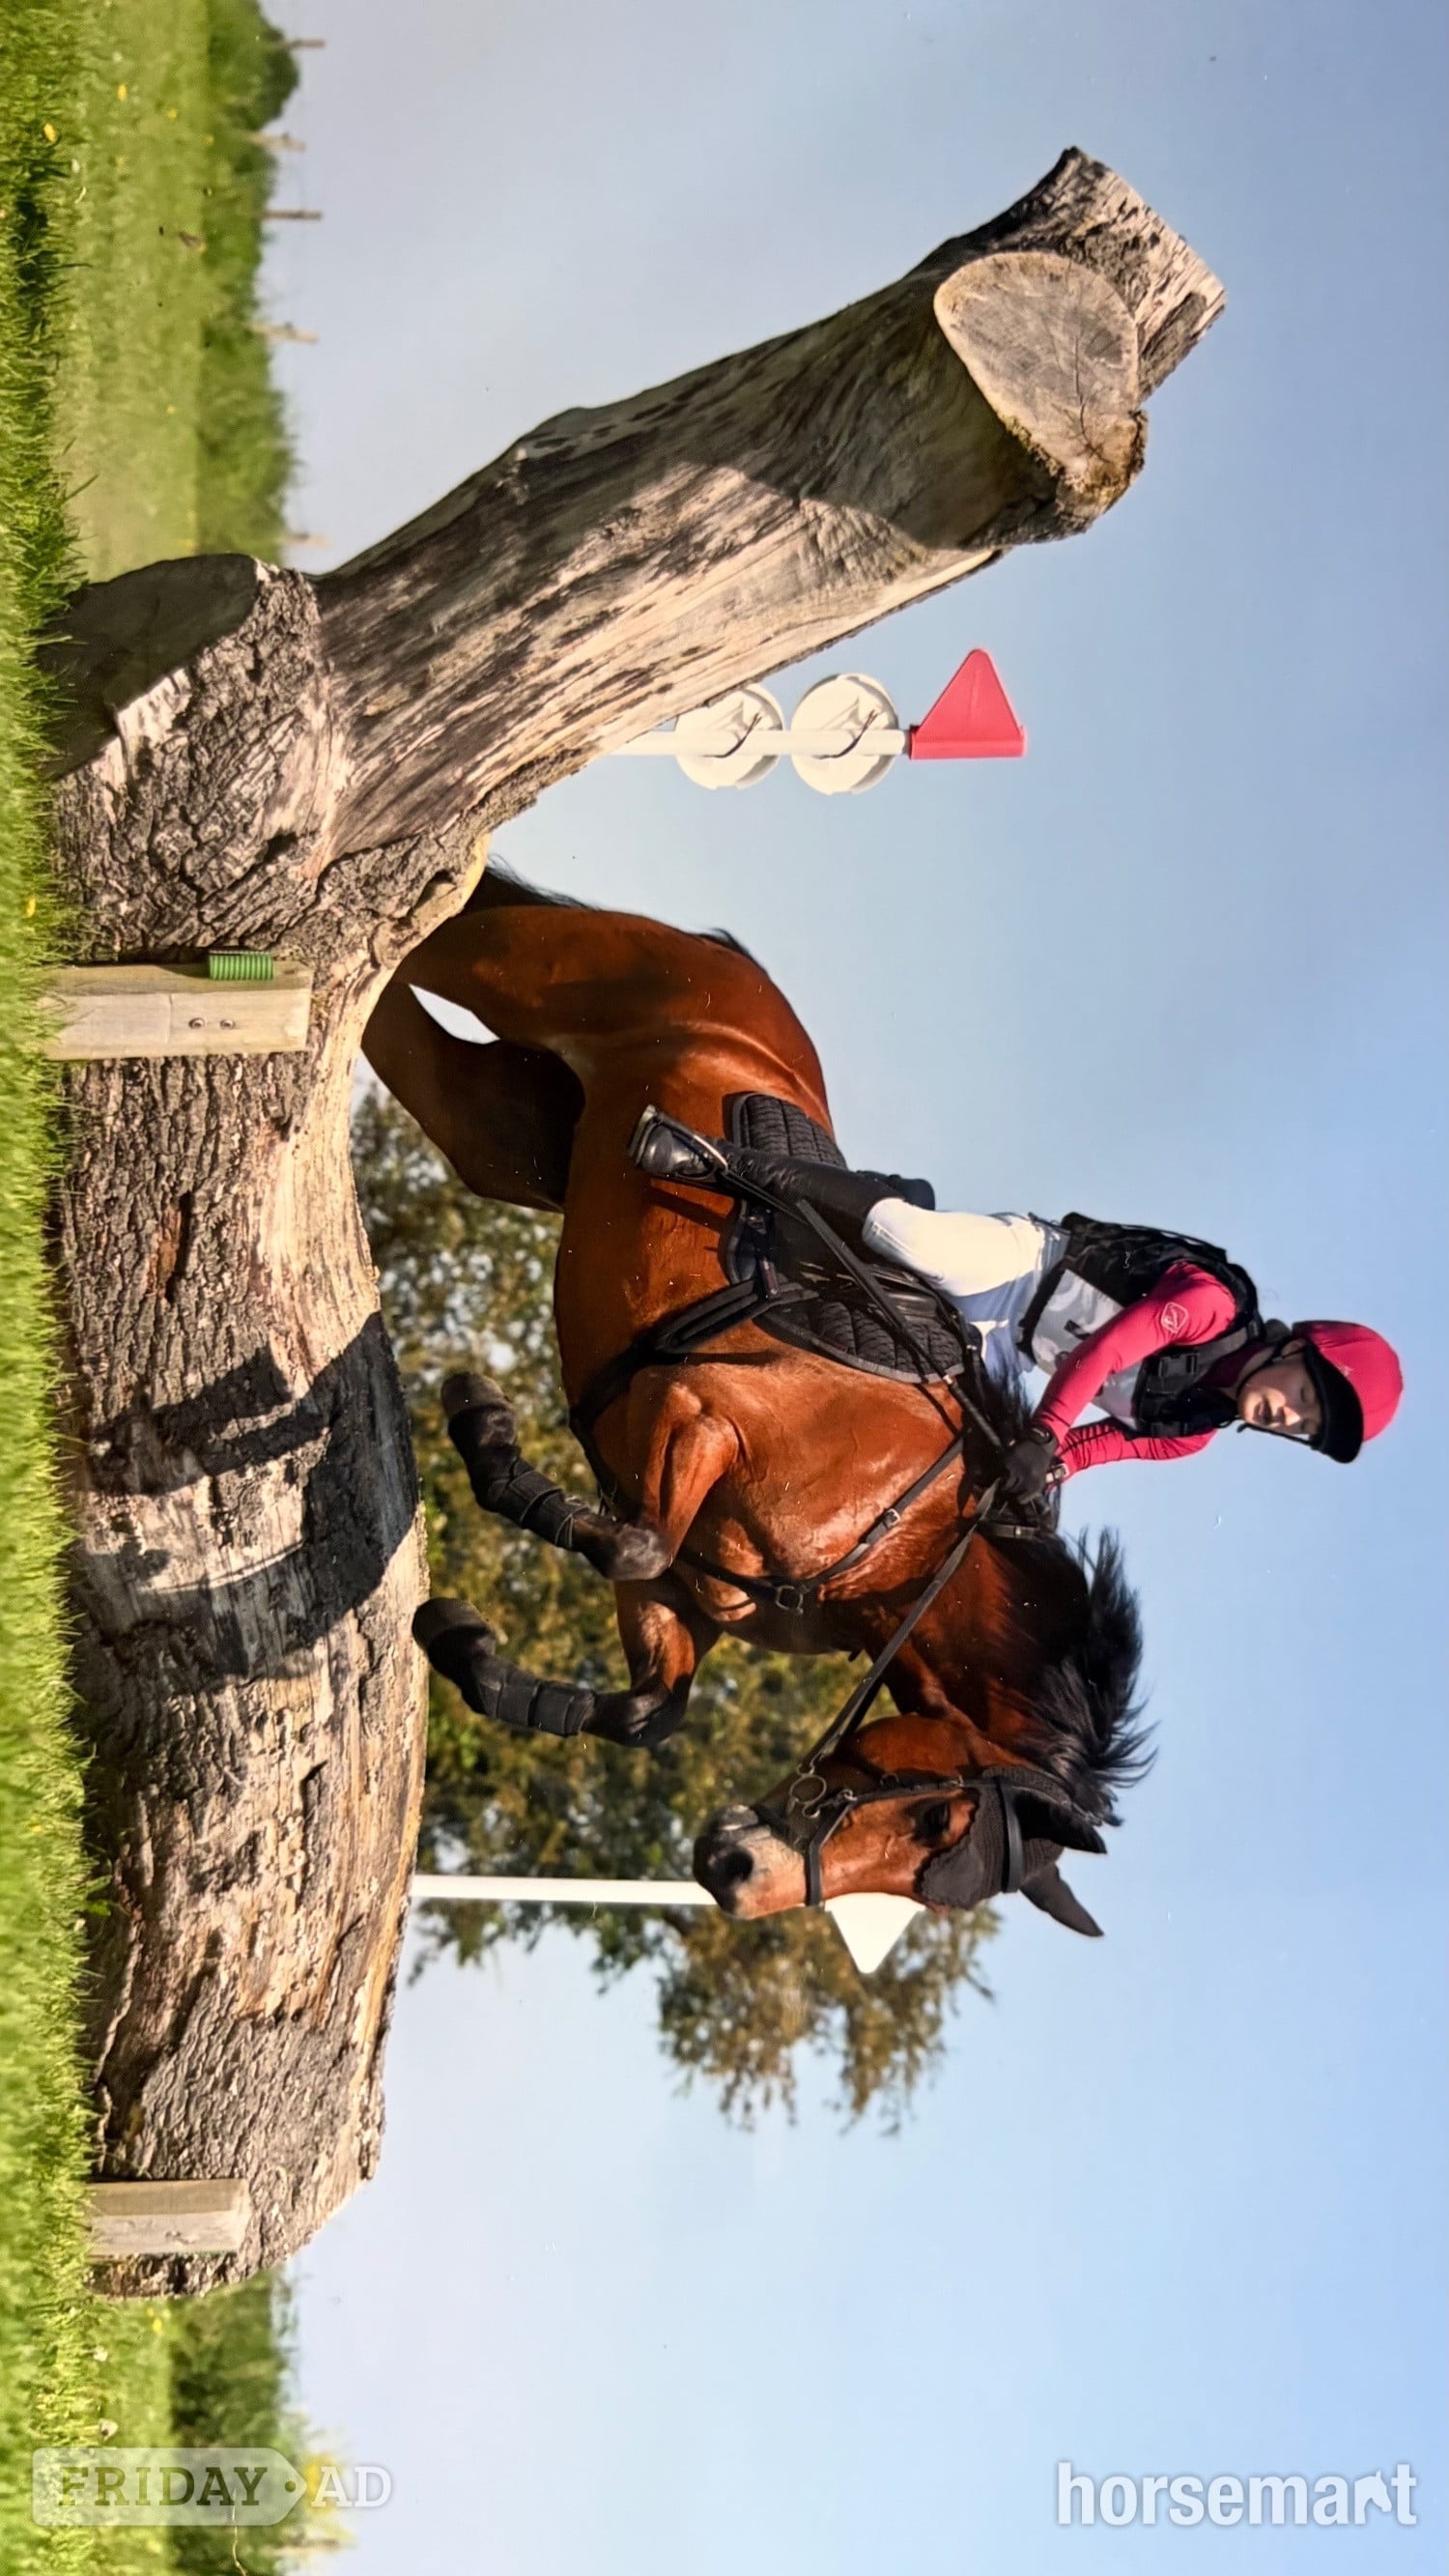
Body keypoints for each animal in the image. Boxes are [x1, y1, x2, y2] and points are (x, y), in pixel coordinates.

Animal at [363, 868, 1149, 1939]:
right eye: (935, 1821)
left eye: (924, 1873)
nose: (732, 1871)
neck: (904, 1556)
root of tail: (750, 986)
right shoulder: (700, 1412)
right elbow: (628, 1541)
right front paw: (487, 1434)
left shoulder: (689, 1578)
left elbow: (651, 1704)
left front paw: (467, 1646)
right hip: (518, 967)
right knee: (422, 930)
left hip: (518, 1132)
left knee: (425, 1068)